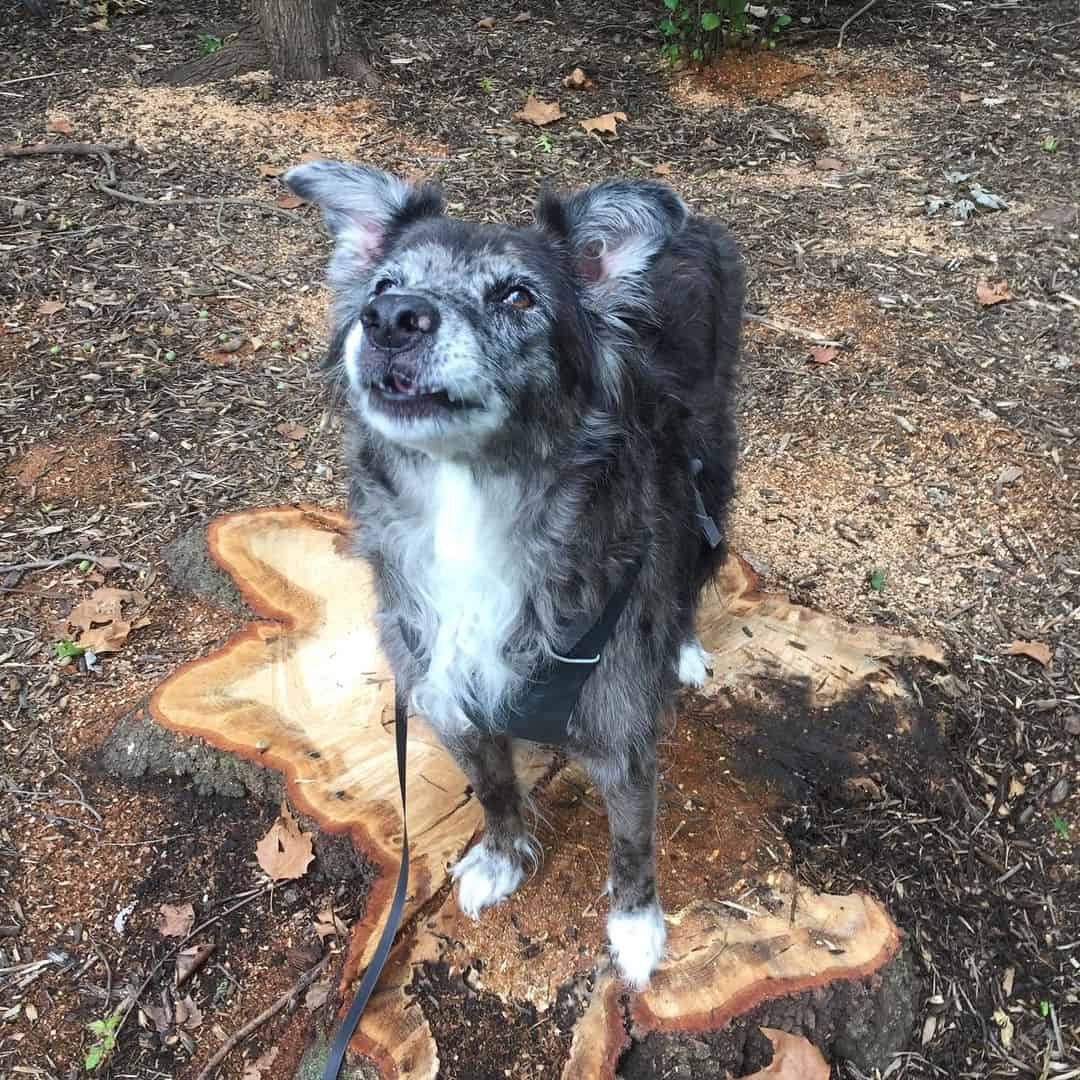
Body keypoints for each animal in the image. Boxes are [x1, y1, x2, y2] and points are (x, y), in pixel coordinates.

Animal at [282, 162, 747, 989]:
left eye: (518, 296)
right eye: (384, 285)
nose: (390, 318)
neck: (469, 505)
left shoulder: (621, 726)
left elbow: (632, 840)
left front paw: (636, 930)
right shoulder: (445, 690)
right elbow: (496, 787)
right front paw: (502, 859)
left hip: (707, 463)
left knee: (695, 558)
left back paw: (687, 646)